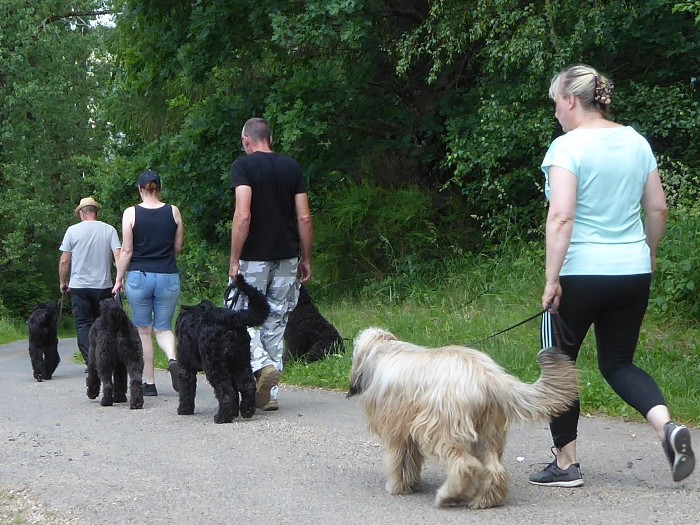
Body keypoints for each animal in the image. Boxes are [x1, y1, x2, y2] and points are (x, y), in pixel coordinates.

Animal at [175, 274, 270, 423]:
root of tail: (233, 318)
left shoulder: (185, 367)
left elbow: (186, 388)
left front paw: (184, 410)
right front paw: (234, 412)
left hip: (214, 366)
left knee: (226, 391)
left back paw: (222, 417)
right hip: (241, 362)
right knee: (247, 386)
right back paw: (246, 411)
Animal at [347, 327, 578, 509]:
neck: (382, 349)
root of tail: (488, 377)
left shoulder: (396, 429)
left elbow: (399, 460)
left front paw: (397, 487)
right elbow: (410, 459)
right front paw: (411, 484)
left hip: (443, 429)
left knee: (464, 464)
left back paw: (449, 496)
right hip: (486, 431)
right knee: (493, 468)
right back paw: (486, 500)